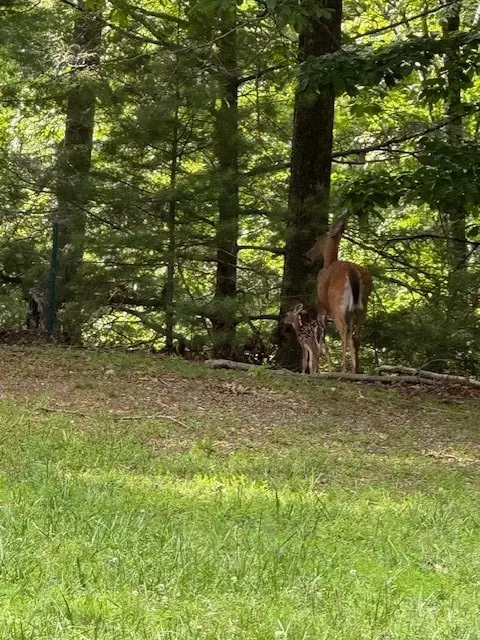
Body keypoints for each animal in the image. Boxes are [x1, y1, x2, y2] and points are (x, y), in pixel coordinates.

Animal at [306, 219, 372, 374]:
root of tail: (352, 271)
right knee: (355, 336)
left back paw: (343, 368)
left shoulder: (321, 309)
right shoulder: (351, 313)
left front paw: (322, 370)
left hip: (338, 305)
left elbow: (322, 341)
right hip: (362, 306)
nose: (307, 255)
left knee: (344, 331)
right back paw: (355, 370)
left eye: (318, 240)